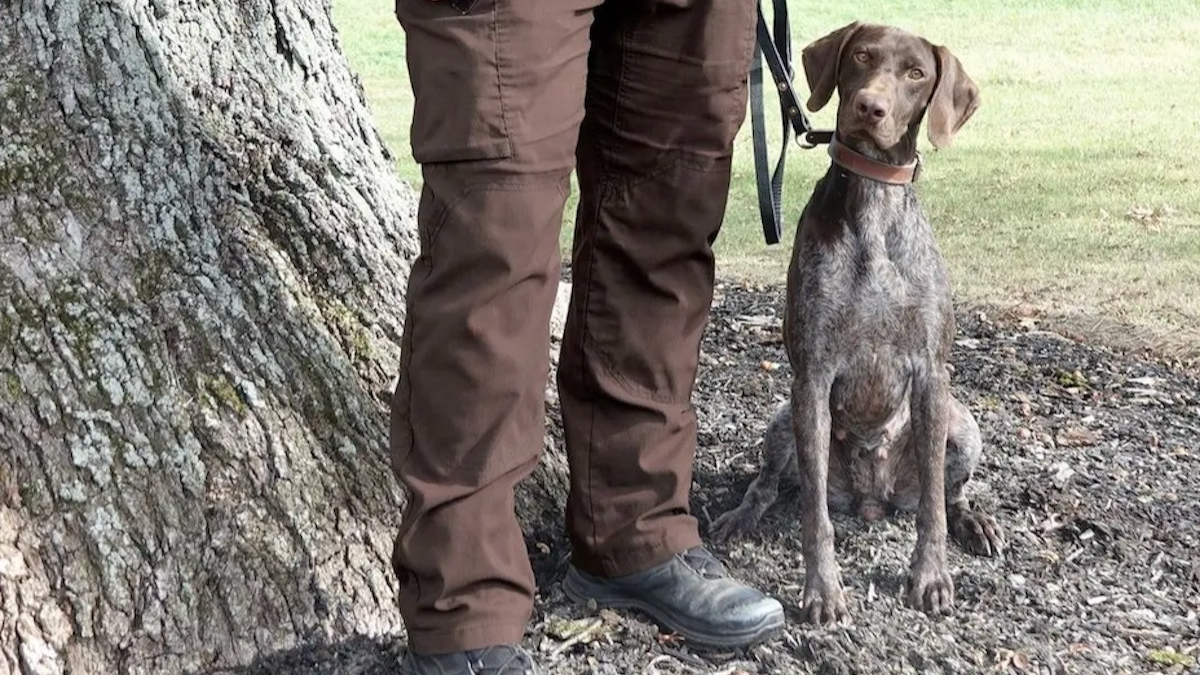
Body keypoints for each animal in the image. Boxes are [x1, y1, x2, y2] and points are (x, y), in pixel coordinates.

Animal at [710, 21, 1003, 619]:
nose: (870, 106)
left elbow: (934, 507)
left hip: (963, 426)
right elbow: (813, 515)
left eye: (916, 73)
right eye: (862, 57)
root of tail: (872, 498)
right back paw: (740, 517)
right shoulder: (812, 376)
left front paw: (931, 576)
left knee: (950, 493)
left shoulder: (933, 374)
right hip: (783, 421)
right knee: (767, 485)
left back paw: (975, 521)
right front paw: (822, 589)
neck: (874, 205)